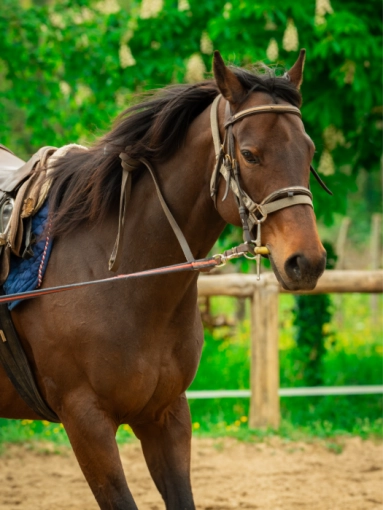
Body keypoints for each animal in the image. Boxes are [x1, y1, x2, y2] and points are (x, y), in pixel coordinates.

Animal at [0, 49, 328, 508]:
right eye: (249, 154)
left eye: (308, 150)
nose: (307, 261)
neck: (119, 277)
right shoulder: (86, 423)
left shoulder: (167, 416)